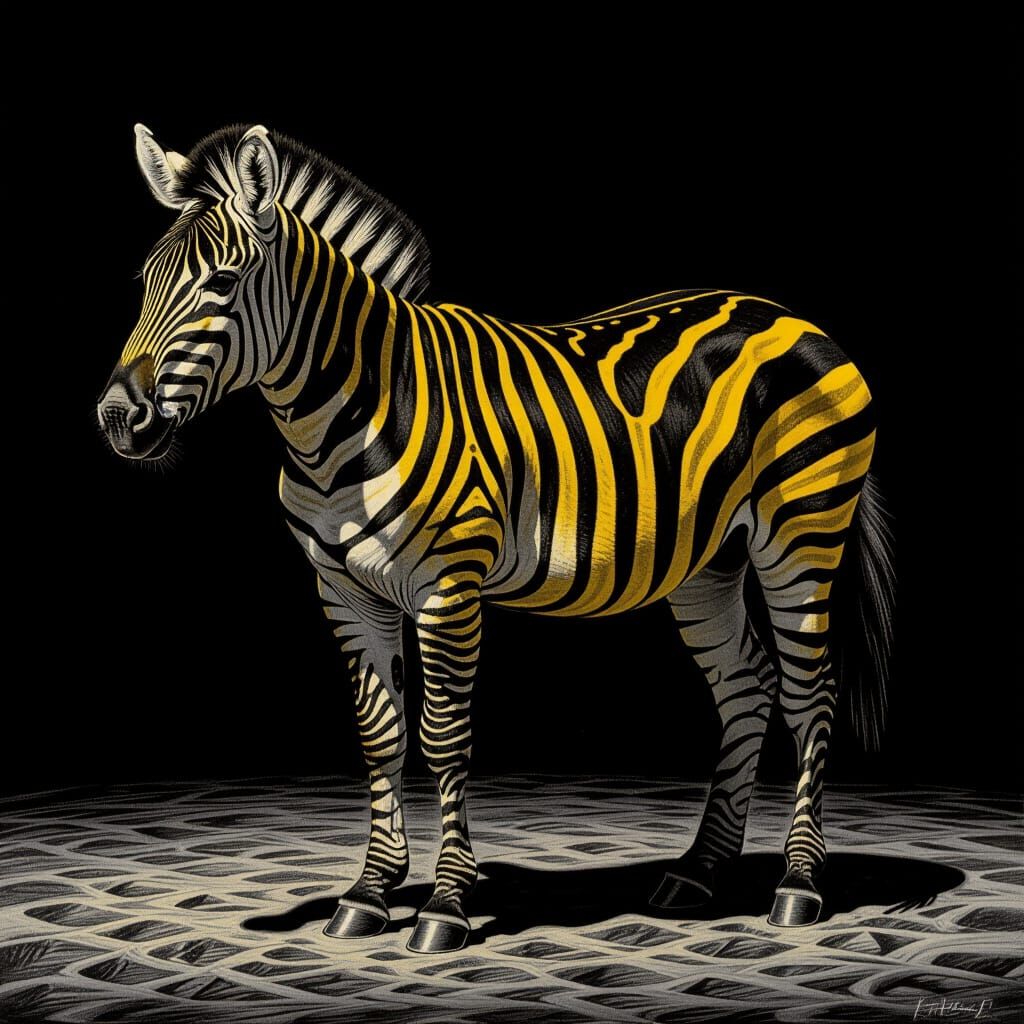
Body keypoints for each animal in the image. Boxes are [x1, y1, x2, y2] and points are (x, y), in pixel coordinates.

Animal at [98, 124, 894, 954]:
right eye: (144, 282)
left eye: (222, 284)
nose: (118, 418)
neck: (351, 413)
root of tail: (790, 314)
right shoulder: (344, 590)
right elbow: (380, 734)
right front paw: (368, 893)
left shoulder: (449, 586)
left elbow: (444, 735)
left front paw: (445, 905)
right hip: (711, 562)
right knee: (746, 686)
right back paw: (699, 871)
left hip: (801, 535)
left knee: (809, 693)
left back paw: (798, 886)